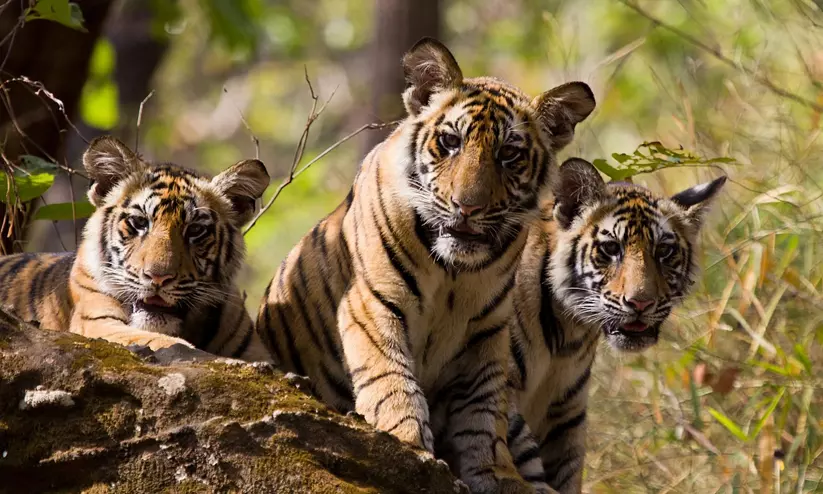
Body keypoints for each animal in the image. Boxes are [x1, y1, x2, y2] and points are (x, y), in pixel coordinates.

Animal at [256, 37, 595, 493]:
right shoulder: (372, 302)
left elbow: (484, 413)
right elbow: (390, 377)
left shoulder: (487, 332)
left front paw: (496, 473)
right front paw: (408, 445)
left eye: (509, 154)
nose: (468, 206)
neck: (455, 274)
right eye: (451, 142)